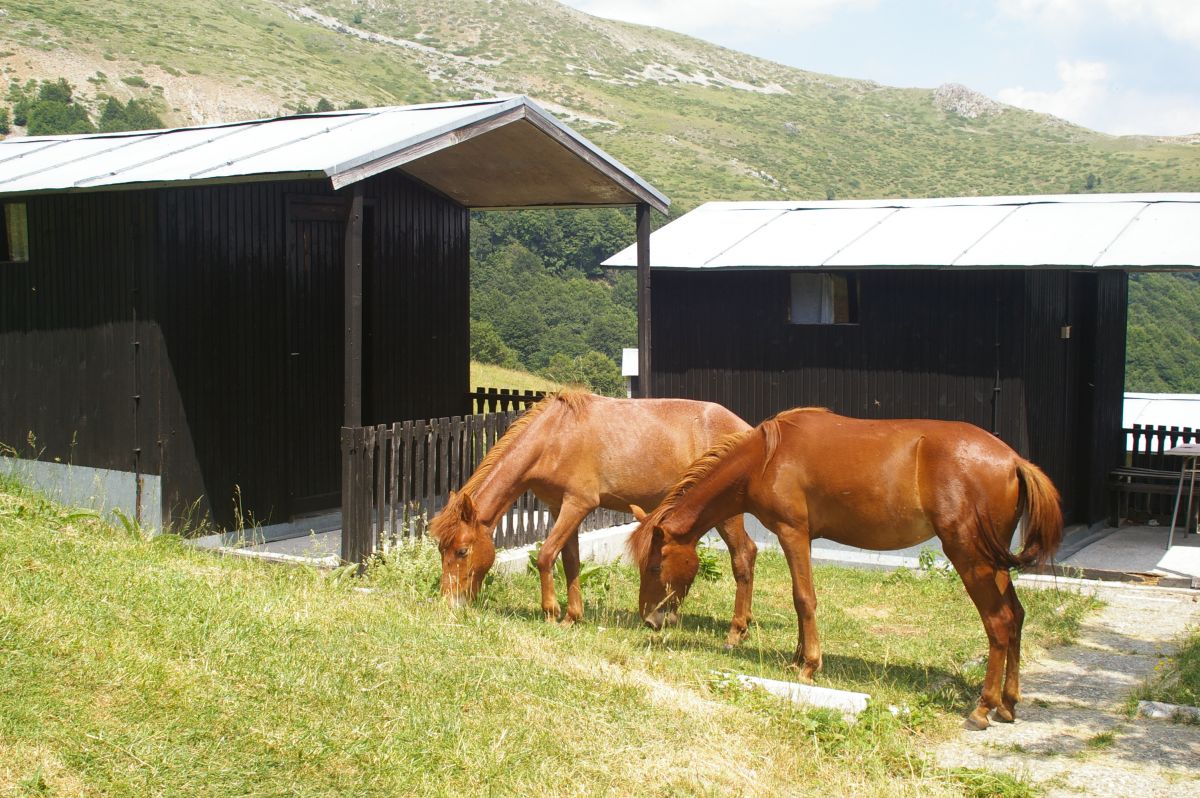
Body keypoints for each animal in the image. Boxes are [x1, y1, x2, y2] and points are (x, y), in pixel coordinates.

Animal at [427, 388, 753, 643]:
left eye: (462, 551)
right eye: (442, 549)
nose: (448, 602)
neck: (553, 436)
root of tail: (746, 428)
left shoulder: (577, 504)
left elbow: (546, 555)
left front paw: (551, 613)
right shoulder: (558, 507)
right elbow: (571, 561)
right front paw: (572, 616)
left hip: (726, 514)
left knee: (743, 556)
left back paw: (736, 630)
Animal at [628, 408, 1060, 729]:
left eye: (654, 567)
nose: (649, 619)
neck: (767, 457)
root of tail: (1014, 460)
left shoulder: (792, 532)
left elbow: (804, 599)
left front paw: (809, 666)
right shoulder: (802, 538)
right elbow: (799, 599)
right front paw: (798, 658)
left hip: (971, 557)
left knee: (999, 623)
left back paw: (983, 707)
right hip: (993, 562)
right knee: (1016, 616)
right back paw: (1008, 703)